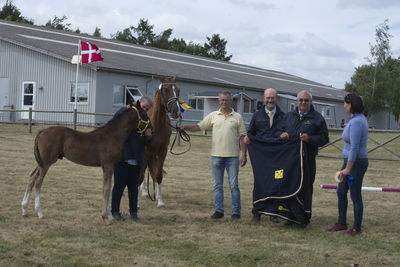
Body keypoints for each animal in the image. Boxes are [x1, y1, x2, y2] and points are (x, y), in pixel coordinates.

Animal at [20, 101, 149, 224]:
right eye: (145, 114)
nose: (151, 131)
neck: (113, 136)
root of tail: (42, 131)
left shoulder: (107, 166)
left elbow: (106, 188)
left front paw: (109, 216)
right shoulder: (108, 165)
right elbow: (107, 189)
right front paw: (105, 218)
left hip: (41, 162)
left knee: (31, 177)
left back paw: (25, 209)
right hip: (47, 163)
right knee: (38, 182)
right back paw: (40, 212)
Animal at [139, 76, 180, 208]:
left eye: (178, 90)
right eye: (166, 90)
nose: (176, 111)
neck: (156, 125)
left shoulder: (162, 152)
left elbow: (158, 175)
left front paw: (160, 201)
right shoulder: (144, 152)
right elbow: (141, 175)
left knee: (152, 172)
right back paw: (144, 191)